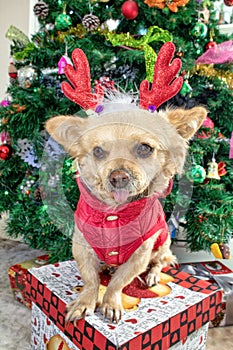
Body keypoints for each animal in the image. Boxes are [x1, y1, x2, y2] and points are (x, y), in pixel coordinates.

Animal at [45, 41, 208, 322]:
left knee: (160, 262)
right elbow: (90, 279)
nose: (118, 176)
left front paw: (111, 302)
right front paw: (85, 302)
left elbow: (119, 282)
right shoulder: (82, 246)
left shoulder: (140, 254)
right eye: (98, 151)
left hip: (163, 243)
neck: (115, 213)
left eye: (145, 148)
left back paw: (152, 275)